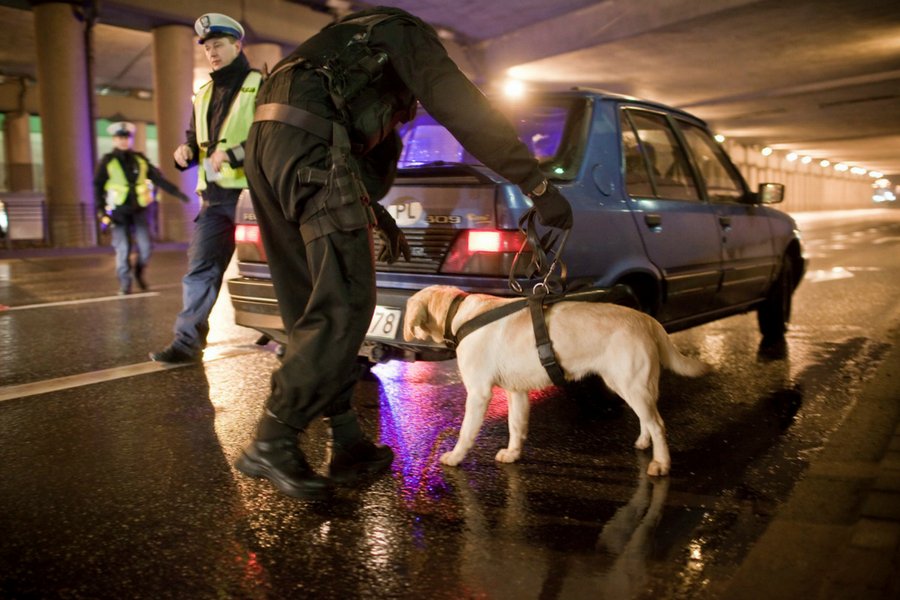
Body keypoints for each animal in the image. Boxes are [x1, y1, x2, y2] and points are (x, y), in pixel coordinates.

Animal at [406, 286, 712, 478]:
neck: (459, 313)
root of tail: (647, 319)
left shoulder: (479, 393)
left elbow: (466, 432)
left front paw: (455, 457)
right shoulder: (517, 392)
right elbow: (516, 426)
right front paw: (513, 453)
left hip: (632, 384)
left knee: (658, 424)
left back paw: (661, 463)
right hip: (627, 384)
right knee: (646, 419)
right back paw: (643, 442)